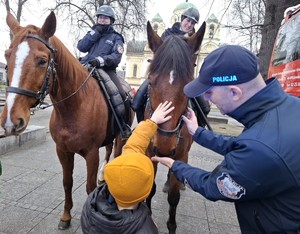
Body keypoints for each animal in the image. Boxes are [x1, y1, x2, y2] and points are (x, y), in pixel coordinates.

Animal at [0, 11, 132, 229]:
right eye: (7, 56)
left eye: (42, 60)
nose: (11, 120)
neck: (74, 107)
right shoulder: (62, 151)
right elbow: (66, 182)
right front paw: (66, 216)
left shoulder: (91, 153)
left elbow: (89, 187)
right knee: (108, 149)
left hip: (122, 136)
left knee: (117, 152)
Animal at [145, 21, 206, 233]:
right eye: (150, 81)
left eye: (189, 84)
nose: (164, 146)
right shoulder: (150, 152)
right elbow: (150, 188)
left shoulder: (180, 155)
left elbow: (173, 197)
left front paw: (171, 226)